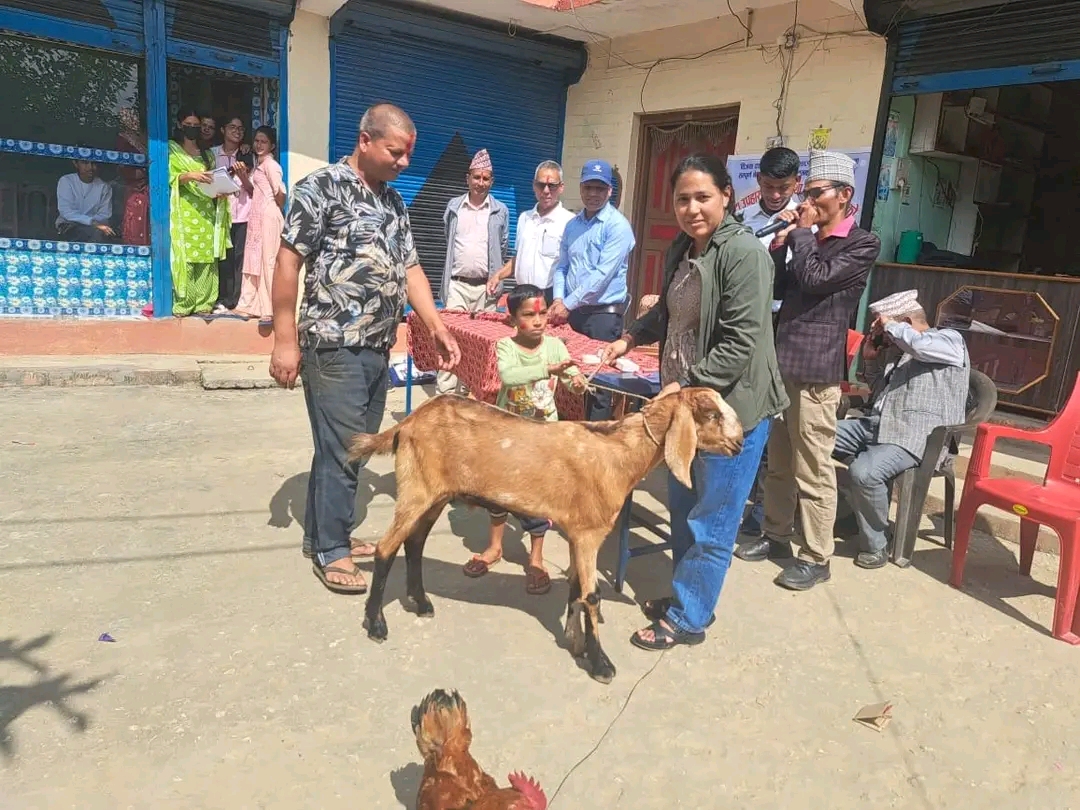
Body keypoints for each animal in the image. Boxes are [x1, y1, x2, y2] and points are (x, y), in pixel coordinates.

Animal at [349, 390, 747, 682]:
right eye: (711, 414)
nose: (741, 443)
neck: (619, 456)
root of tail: (408, 423)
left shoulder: (575, 533)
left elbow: (575, 588)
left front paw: (574, 642)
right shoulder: (589, 533)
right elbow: (592, 595)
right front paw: (601, 663)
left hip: (436, 494)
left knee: (414, 543)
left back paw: (421, 602)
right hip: (417, 489)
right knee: (386, 547)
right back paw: (376, 624)